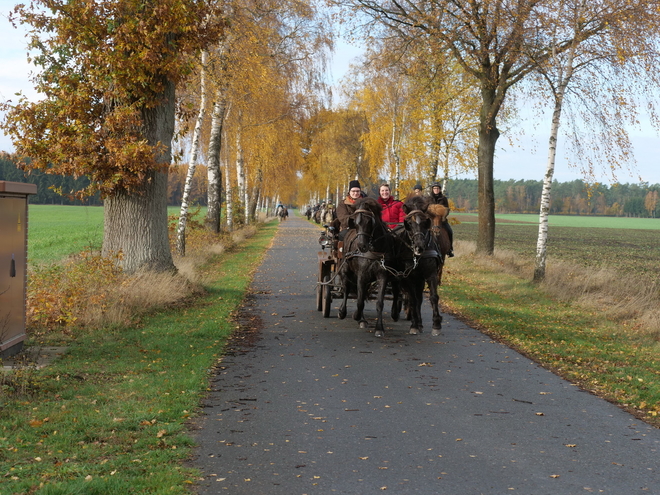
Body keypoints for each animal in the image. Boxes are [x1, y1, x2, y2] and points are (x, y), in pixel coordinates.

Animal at [336, 197, 402, 338]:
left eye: (369, 221)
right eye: (355, 222)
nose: (361, 246)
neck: (375, 250)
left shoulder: (382, 276)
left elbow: (379, 303)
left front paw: (379, 328)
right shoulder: (361, 276)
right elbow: (359, 301)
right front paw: (356, 316)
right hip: (345, 269)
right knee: (346, 289)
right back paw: (344, 312)